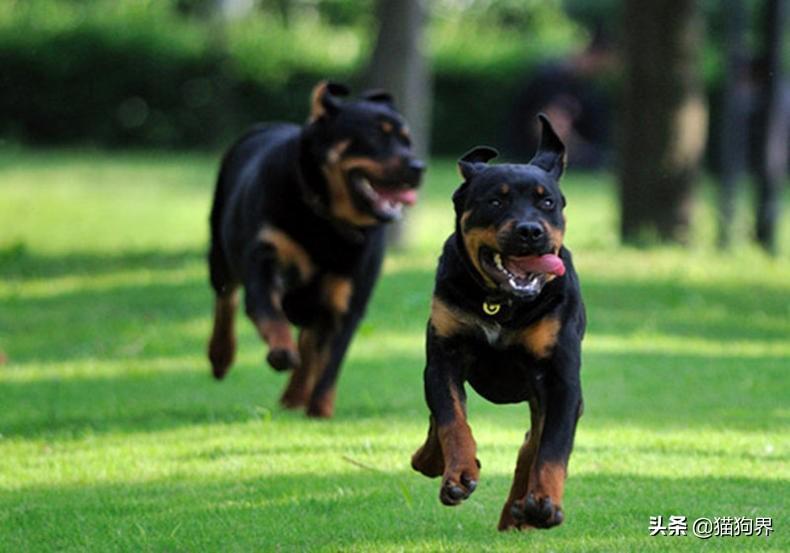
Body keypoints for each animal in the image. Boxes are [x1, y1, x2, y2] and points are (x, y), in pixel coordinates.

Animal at [207, 82, 424, 416]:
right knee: (225, 296)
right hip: (219, 249)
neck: (327, 220)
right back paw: (221, 355)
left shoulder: (347, 300)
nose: (417, 166)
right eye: (376, 137)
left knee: (310, 342)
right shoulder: (266, 259)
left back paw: (295, 396)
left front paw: (320, 411)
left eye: (407, 141)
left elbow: (330, 364)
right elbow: (269, 313)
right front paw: (281, 350)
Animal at [412, 113, 584, 532]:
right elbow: (451, 419)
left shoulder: (561, 379)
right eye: (495, 200)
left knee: (531, 444)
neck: (500, 305)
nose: (529, 230)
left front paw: (545, 503)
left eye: (547, 202)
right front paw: (458, 473)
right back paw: (430, 460)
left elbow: (552, 448)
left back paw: (520, 511)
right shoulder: (444, 356)